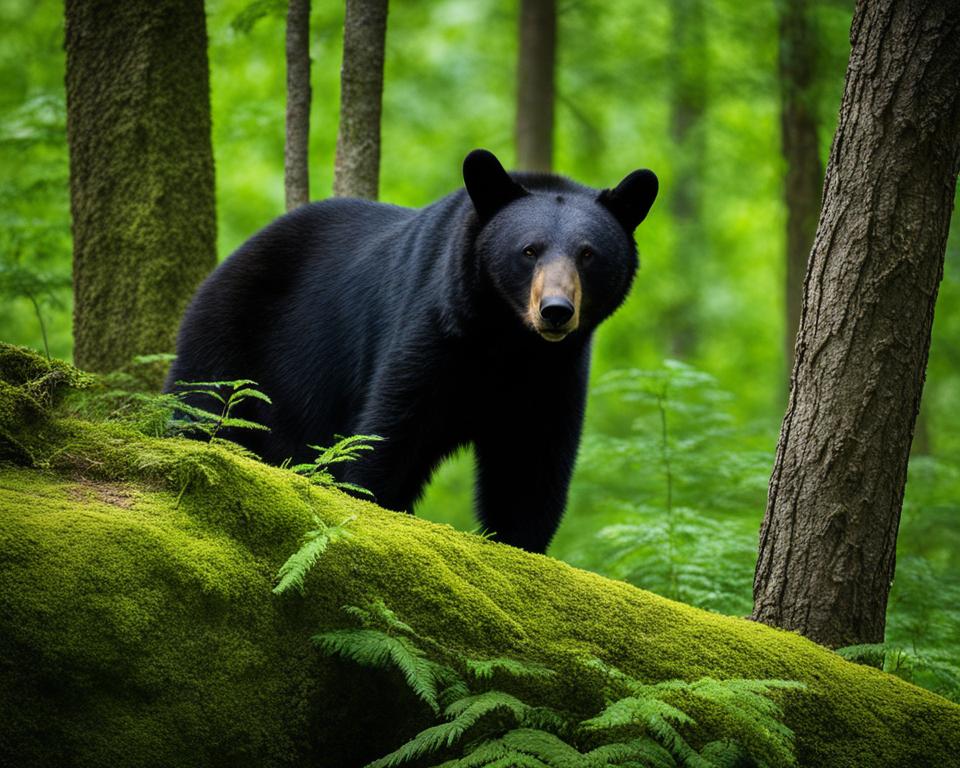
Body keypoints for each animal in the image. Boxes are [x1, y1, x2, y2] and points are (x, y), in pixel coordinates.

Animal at [169, 148, 656, 552]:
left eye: (588, 254)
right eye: (529, 250)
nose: (555, 310)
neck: (505, 342)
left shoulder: (553, 374)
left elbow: (530, 469)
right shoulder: (433, 329)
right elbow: (386, 437)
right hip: (233, 345)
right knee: (202, 408)